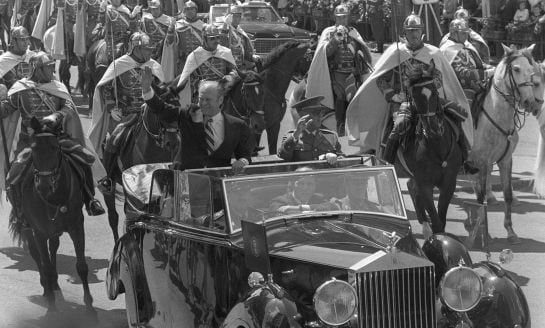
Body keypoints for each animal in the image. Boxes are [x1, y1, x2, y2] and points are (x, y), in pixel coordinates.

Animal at [8, 117, 95, 316]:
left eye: (55, 147)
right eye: (33, 149)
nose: (44, 186)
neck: (53, 197)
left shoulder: (77, 227)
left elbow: (82, 267)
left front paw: (90, 309)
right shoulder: (39, 232)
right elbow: (45, 264)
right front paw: (52, 309)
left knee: (53, 247)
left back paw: (54, 284)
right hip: (28, 227)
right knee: (37, 254)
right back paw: (47, 288)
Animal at [398, 63, 462, 238]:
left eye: (434, 91)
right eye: (414, 96)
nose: (433, 128)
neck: (436, 146)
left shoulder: (449, 182)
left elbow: (442, 218)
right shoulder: (424, 183)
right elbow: (437, 222)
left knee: (411, 186)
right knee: (413, 189)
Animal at [468, 43, 544, 243]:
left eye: (531, 70)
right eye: (516, 69)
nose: (529, 102)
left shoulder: (505, 159)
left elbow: (508, 194)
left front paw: (510, 231)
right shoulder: (481, 161)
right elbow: (480, 197)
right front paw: (484, 232)